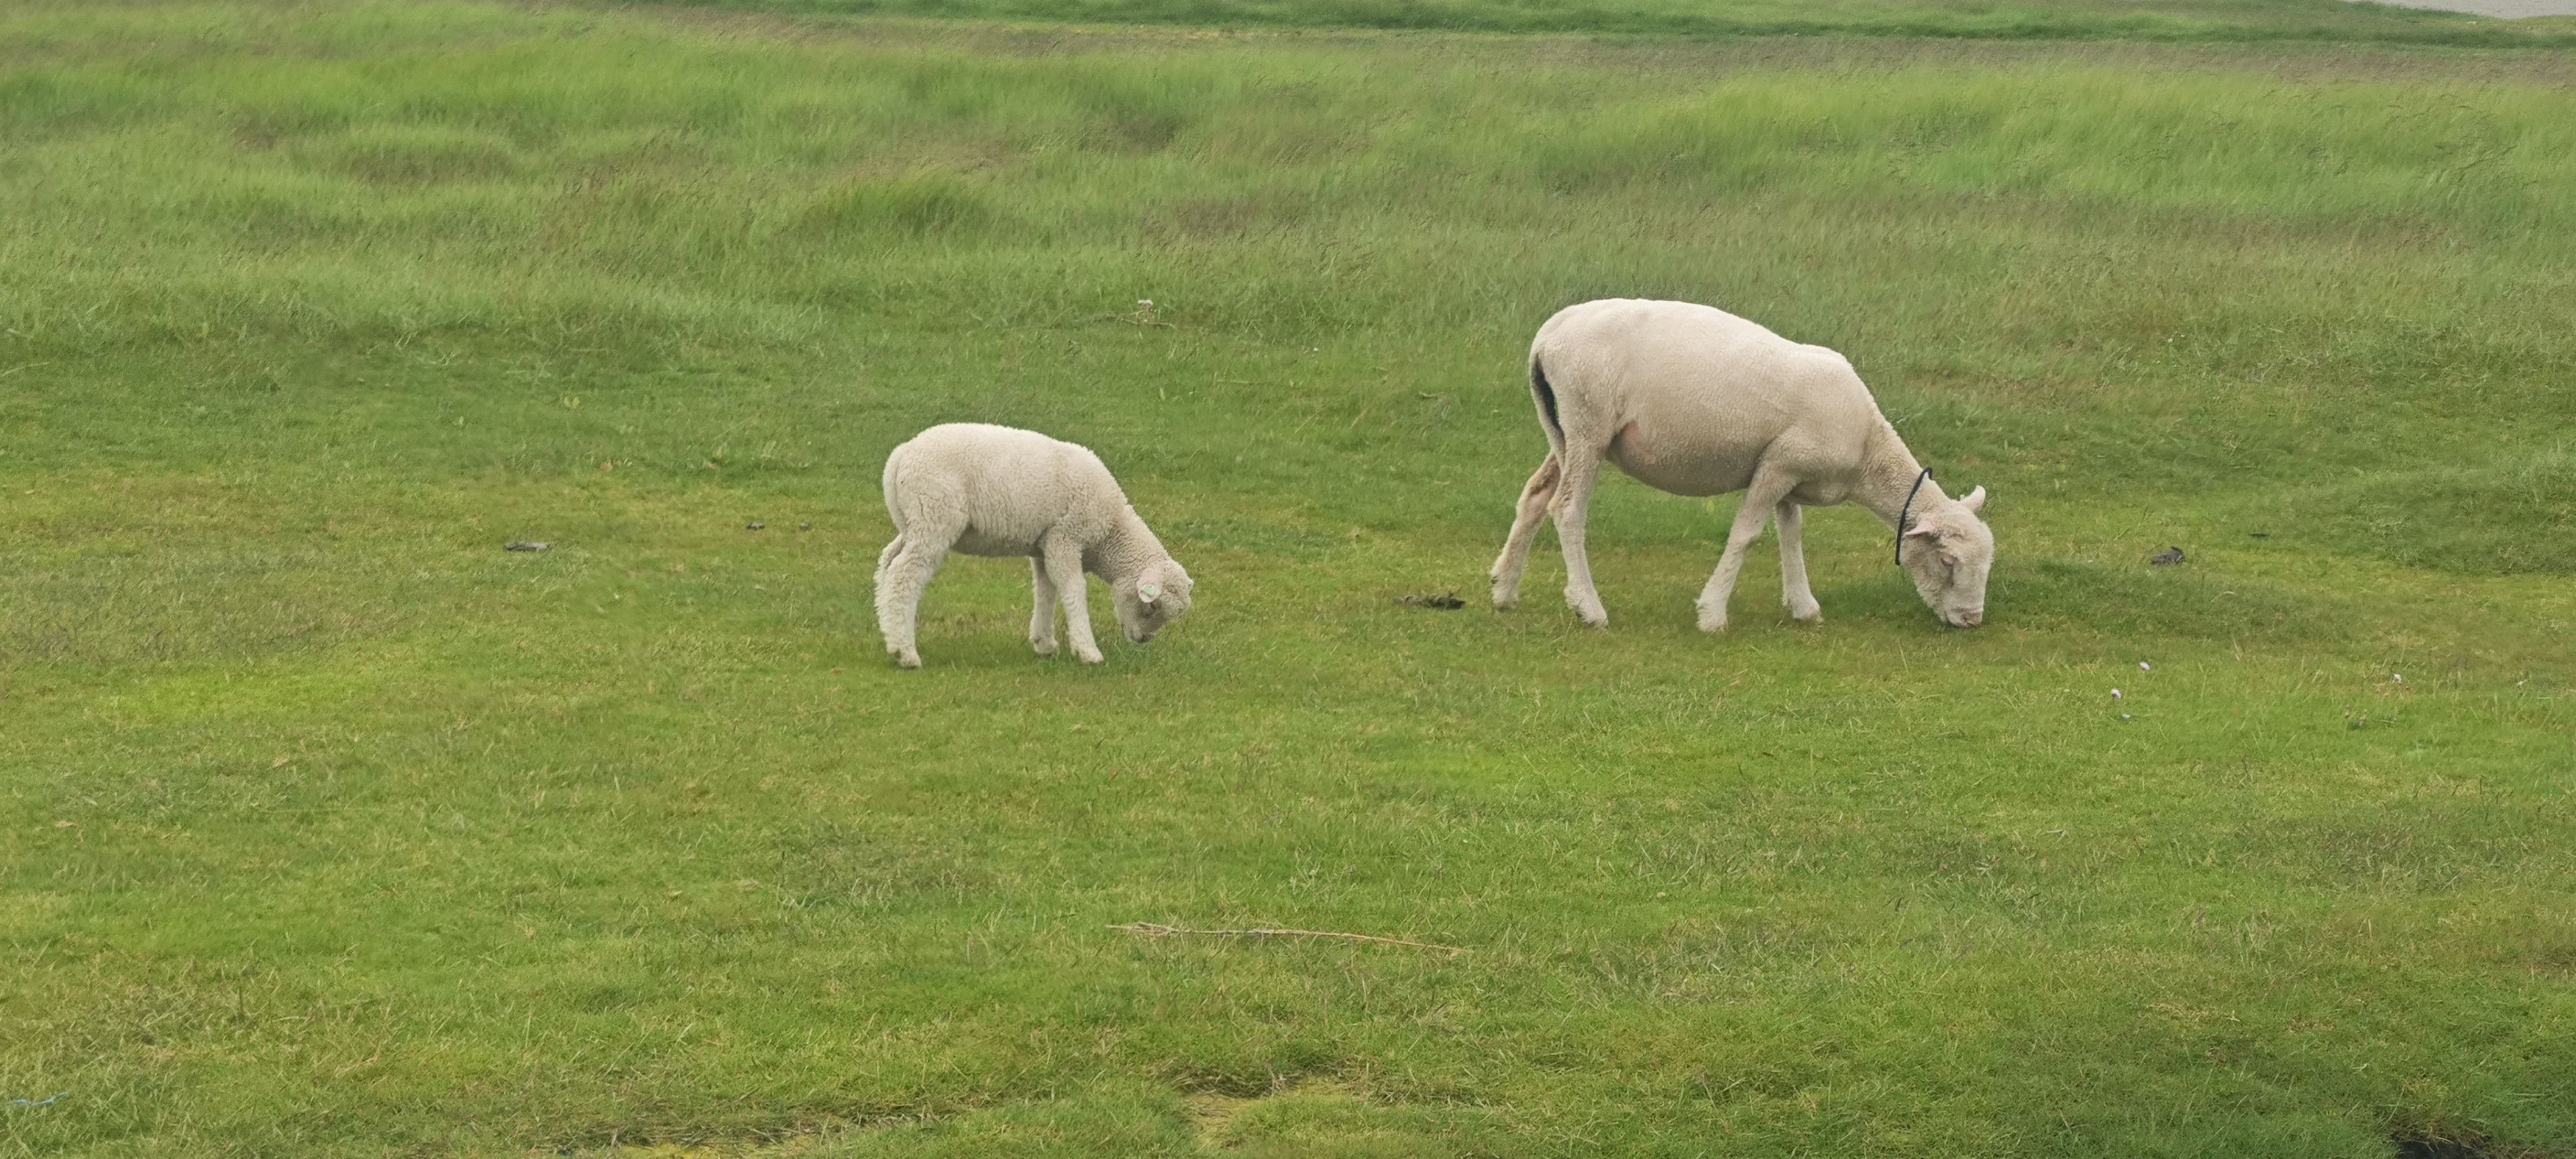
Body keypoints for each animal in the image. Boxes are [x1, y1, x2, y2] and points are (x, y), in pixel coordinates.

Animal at [865, 425, 1185, 664]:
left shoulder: (1045, 545)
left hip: (913, 523)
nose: (1143, 639)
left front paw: (1044, 642)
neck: (1110, 533)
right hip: (934, 516)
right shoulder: (1065, 537)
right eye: (1151, 609)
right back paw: (905, 653)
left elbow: (1046, 589)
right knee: (904, 576)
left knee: (888, 562)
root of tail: (902, 455)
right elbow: (1073, 588)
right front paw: (1087, 650)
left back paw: (890, 636)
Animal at [1494, 294, 1988, 628]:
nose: (1971, 620)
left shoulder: (1792, 475)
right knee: (1566, 509)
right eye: (1947, 561)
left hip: (1564, 428)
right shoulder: (1779, 464)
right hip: (1588, 422)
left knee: (1535, 496)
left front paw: (1803, 606)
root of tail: (1549, 336)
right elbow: (1746, 535)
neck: (1868, 450)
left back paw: (1504, 590)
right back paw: (1589, 607)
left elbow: (1792, 534)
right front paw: (1712, 613)